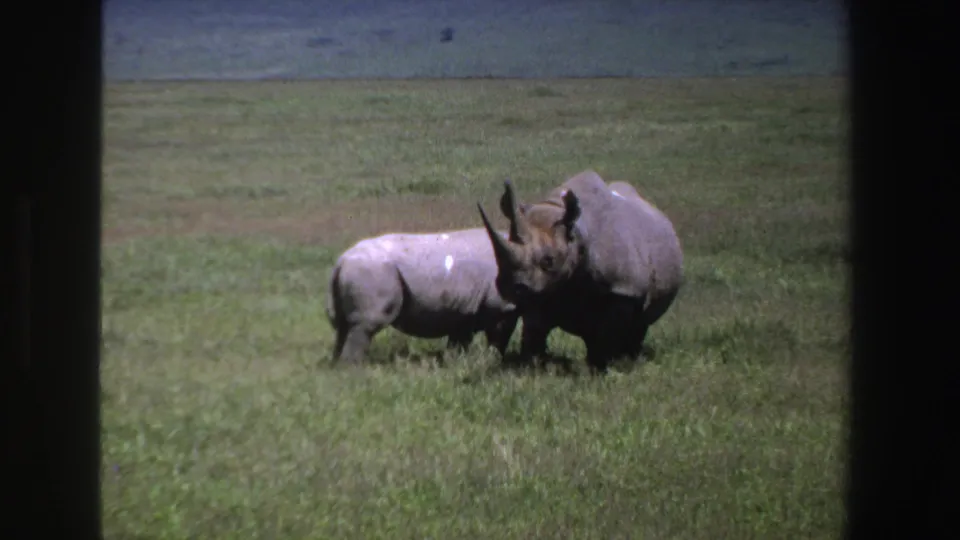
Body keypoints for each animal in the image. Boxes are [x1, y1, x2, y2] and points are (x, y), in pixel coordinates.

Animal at [325, 228, 521, 365]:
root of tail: (341, 261)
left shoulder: (465, 310)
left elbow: (460, 341)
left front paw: (455, 363)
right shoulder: (502, 306)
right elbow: (499, 337)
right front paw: (493, 360)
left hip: (361, 271)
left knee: (344, 326)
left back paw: (338, 367)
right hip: (371, 271)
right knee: (365, 325)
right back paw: (354, 370)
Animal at [476, 170, 684, 373]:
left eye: (549, 260)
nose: (510, 287)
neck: (576, 233)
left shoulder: (624, 288)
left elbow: (609, 331)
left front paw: (601, 369)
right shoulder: (540, 289)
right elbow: (535, 328)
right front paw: (532, 366)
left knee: (639, 324)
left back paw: (627, 360)